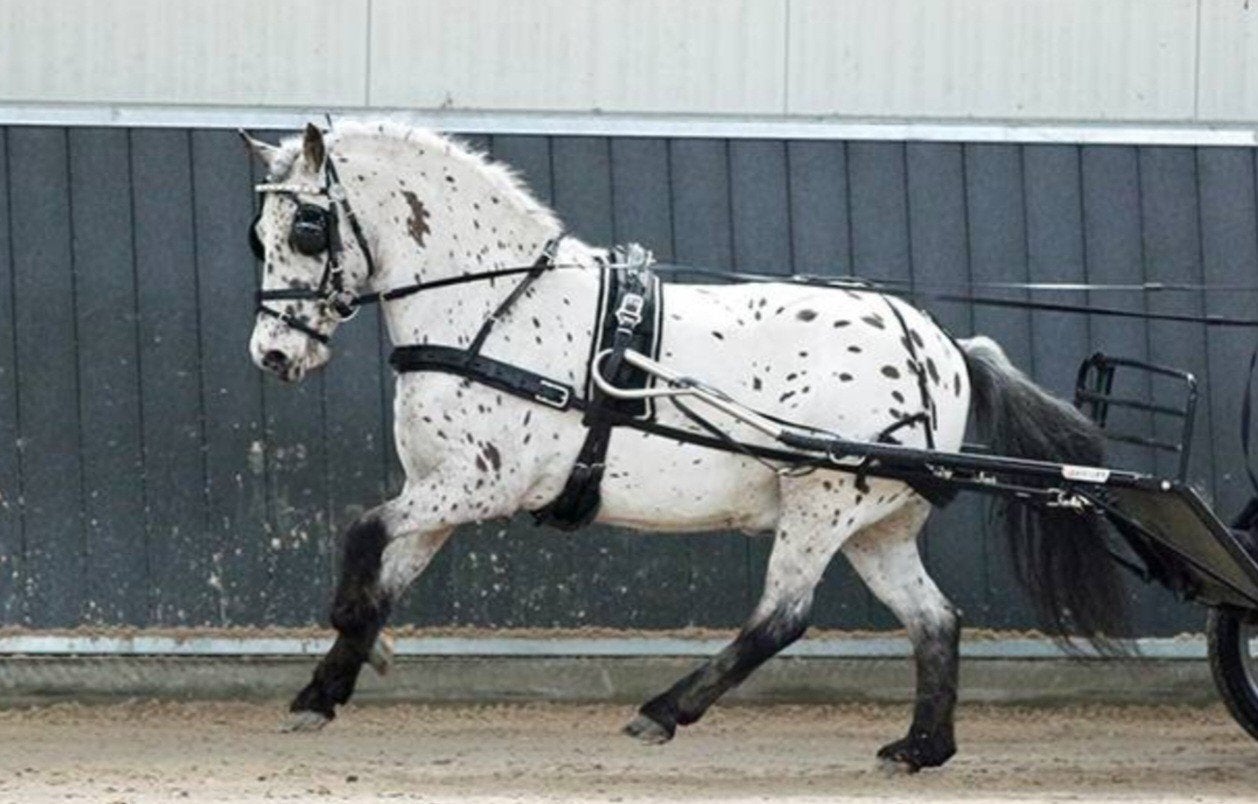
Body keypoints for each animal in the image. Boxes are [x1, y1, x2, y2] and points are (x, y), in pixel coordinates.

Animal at [241, 121, 1126, 772]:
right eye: (259, 234)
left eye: (309, 227)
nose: (273, 356)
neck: (493, 308)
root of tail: (943, 348)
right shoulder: (441, 493)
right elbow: (386, 571)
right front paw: (327, 687)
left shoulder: (480, 484)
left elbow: (360, 532)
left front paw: (352, 641)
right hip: (878, 524)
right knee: (934, 621)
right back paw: (920, 749)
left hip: (821, 501)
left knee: (781, 618)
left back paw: (663, 713)